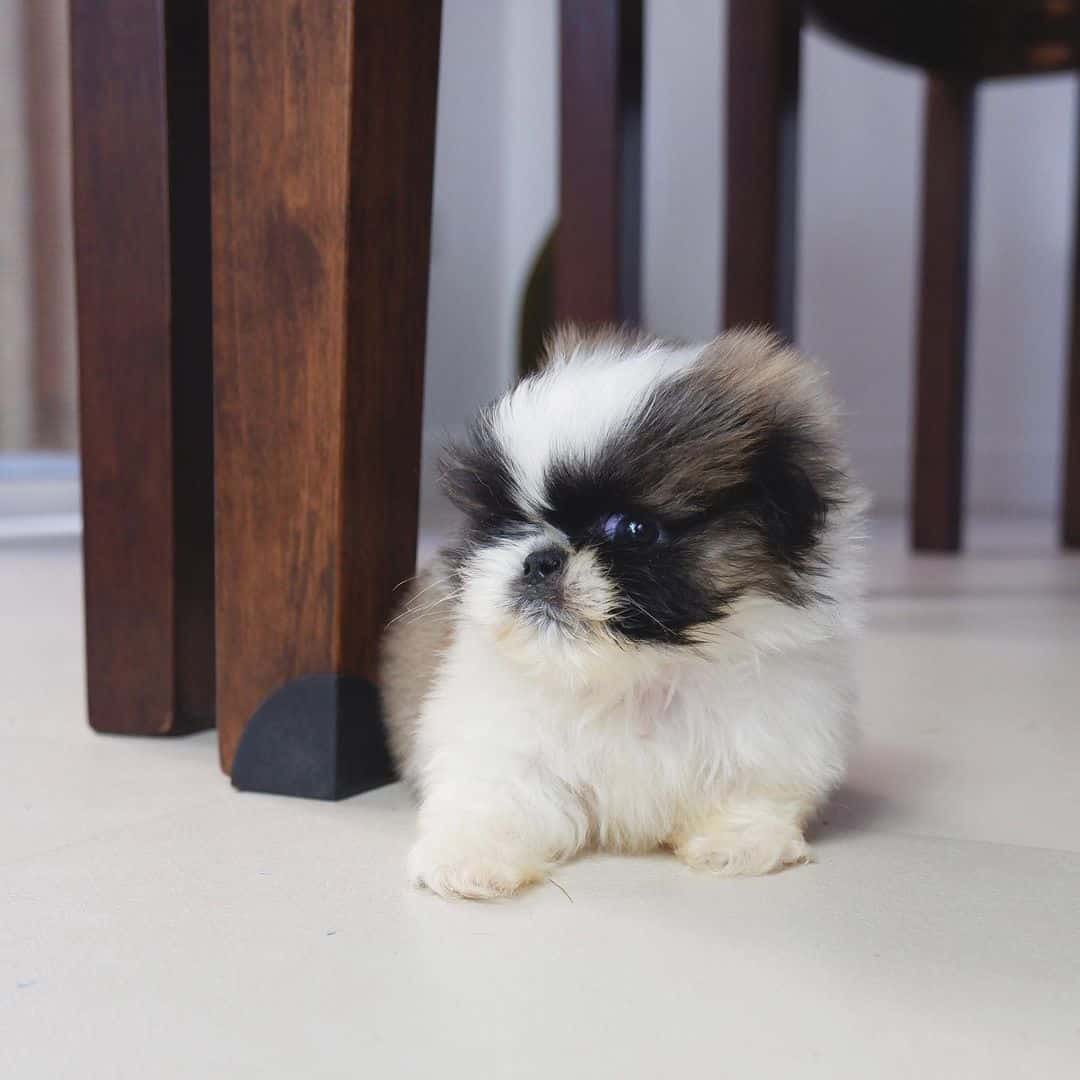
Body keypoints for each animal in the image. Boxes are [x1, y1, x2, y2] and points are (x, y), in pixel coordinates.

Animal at [384, 324, 864, 898]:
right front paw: (467, 859)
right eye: (507, 521)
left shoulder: (770, 736)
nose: (540, 561)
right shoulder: (500, 740)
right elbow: (490, 796)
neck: (634, 679)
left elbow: (750, 794)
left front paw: (738, 843)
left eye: (633, 529)